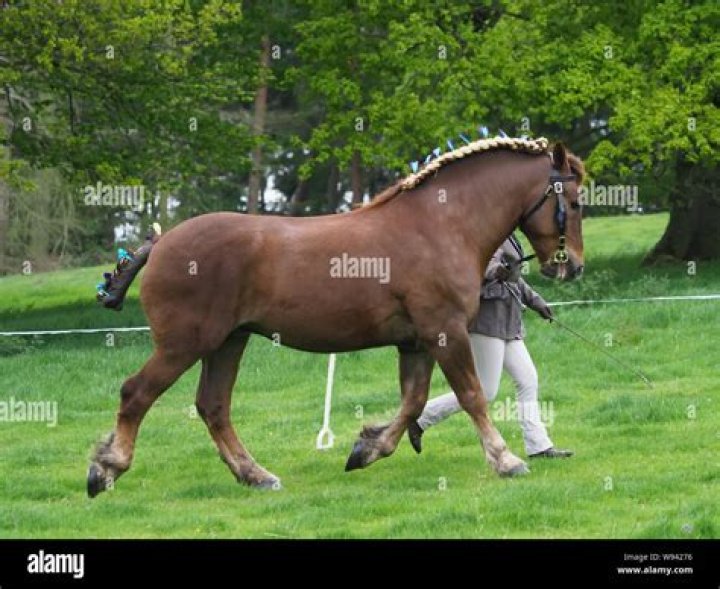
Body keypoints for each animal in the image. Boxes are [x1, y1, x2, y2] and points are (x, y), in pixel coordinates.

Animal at [87, 136, 586, 497]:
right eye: (577, 202)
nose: (572, 267)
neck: (439, 226)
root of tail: (161, 243)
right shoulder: (445, 333)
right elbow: (471, 396)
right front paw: (506, 459)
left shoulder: (417, 342)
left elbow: (415, 401)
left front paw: (367, 448)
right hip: (185, 344)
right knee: (136, 394)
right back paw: (107, 468)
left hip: (228, 342)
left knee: (213, 406)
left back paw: (255, 475)